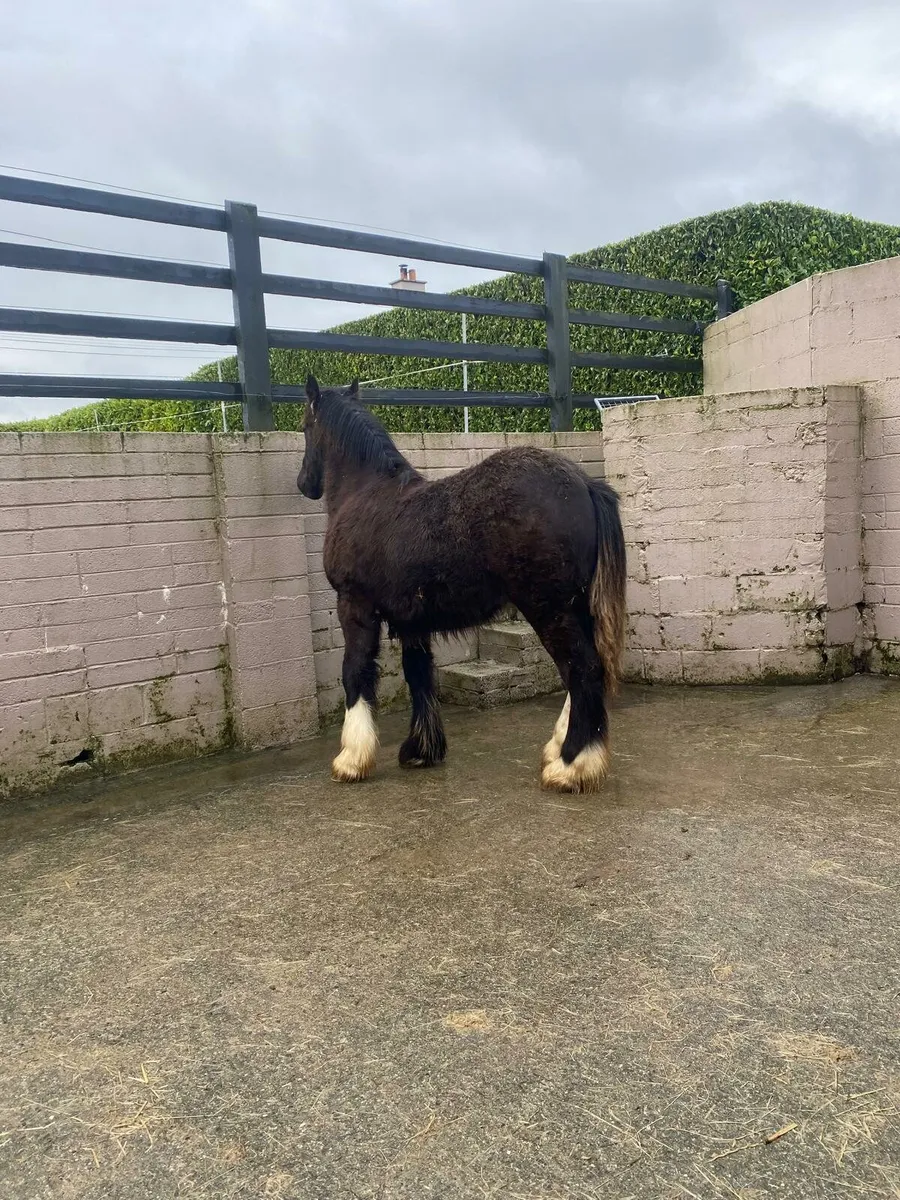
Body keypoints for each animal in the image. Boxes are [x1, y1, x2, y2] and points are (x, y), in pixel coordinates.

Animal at [296, 376, 627, 794]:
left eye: (305, 426)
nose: (304, 484)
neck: (366, 494)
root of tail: (585, 484)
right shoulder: (412, 621)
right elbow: (419, 674)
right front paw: (421, 749)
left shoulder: (354, 606)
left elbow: (354, 671)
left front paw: (351, 759)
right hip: (577, 606)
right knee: (584, 673)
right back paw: (562, 749)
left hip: (550, 609)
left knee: (582, 669)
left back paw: (571, 766)